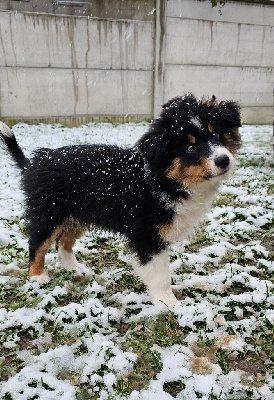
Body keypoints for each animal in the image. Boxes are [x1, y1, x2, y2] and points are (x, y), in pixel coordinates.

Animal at [0, 95, 240, 308]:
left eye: (216, 133)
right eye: (191, 148)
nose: (224, 160)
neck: (163, 181)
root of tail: (32, 165)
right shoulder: (147, 236)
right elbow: (160, 274)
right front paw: (169, 303)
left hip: (77, 213)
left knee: (63, 242)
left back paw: (75, 268)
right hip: (47, 212)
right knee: (37, 243)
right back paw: (37, 276)